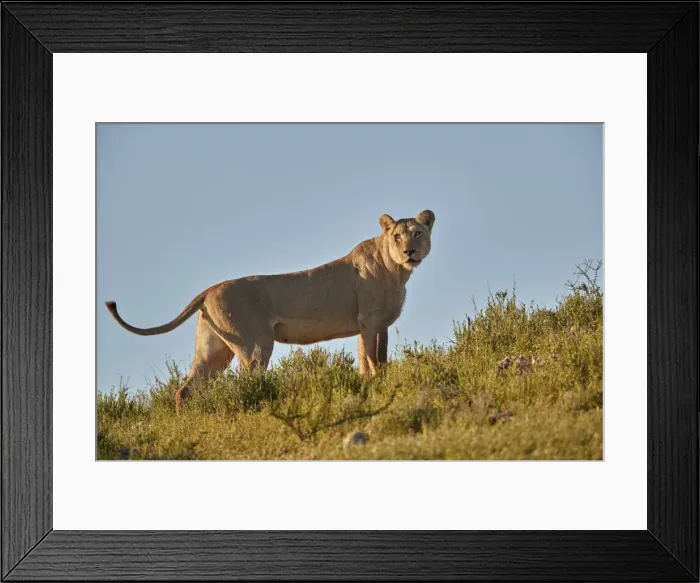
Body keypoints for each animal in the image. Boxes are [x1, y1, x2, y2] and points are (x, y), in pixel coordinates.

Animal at [106, 209, 435, 415]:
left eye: (418, 233)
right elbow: (378, 361)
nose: (409, 251)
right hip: (255, 343)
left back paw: (186, 423)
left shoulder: (365, 326)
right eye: (397, 236)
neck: (397, 271)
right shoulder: (372, 321)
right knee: (246, 383)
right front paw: (379, 388)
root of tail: (209, 289)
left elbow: (365, 361)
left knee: (186, 389)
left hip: (213, 349)